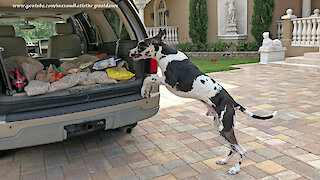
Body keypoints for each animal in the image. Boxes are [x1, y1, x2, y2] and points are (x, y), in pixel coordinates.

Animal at [129, 30, 276, 175]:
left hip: (225, 130)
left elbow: (149, 79)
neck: (167, 54)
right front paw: (145, 91)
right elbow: (149, 79)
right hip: (221, 128)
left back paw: (236, 169)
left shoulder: (169, 81)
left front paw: (143, 90)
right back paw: (224, 161)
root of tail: (232, 102)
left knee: (241, 150)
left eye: (140, 45)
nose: (130, 52)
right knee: (233, 148)